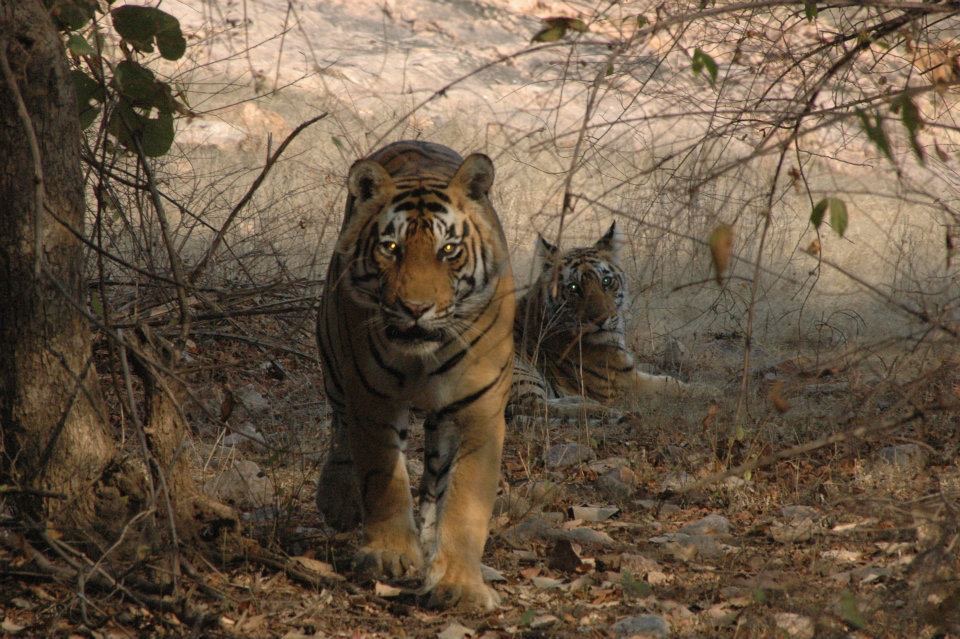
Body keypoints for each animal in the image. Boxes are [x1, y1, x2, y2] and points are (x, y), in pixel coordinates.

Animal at [316, 139, 512, 608]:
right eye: (390, 248)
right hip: (332, 352)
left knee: (435, 478)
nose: (415, 308)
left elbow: (464, 504)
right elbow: (383, 479)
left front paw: (459, 585)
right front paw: (388, 554)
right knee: (339, 422)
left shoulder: (481, 412)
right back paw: (338, 498)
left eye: (448, 250)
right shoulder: (372, 400)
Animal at [512, 222, 688, 418]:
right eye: (574, 287)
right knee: (534, 407)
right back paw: (608, 411)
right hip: (520, 369)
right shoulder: (624, 382)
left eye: (606, 281)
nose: (600, 319)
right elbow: (675, 385)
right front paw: (702, 390)